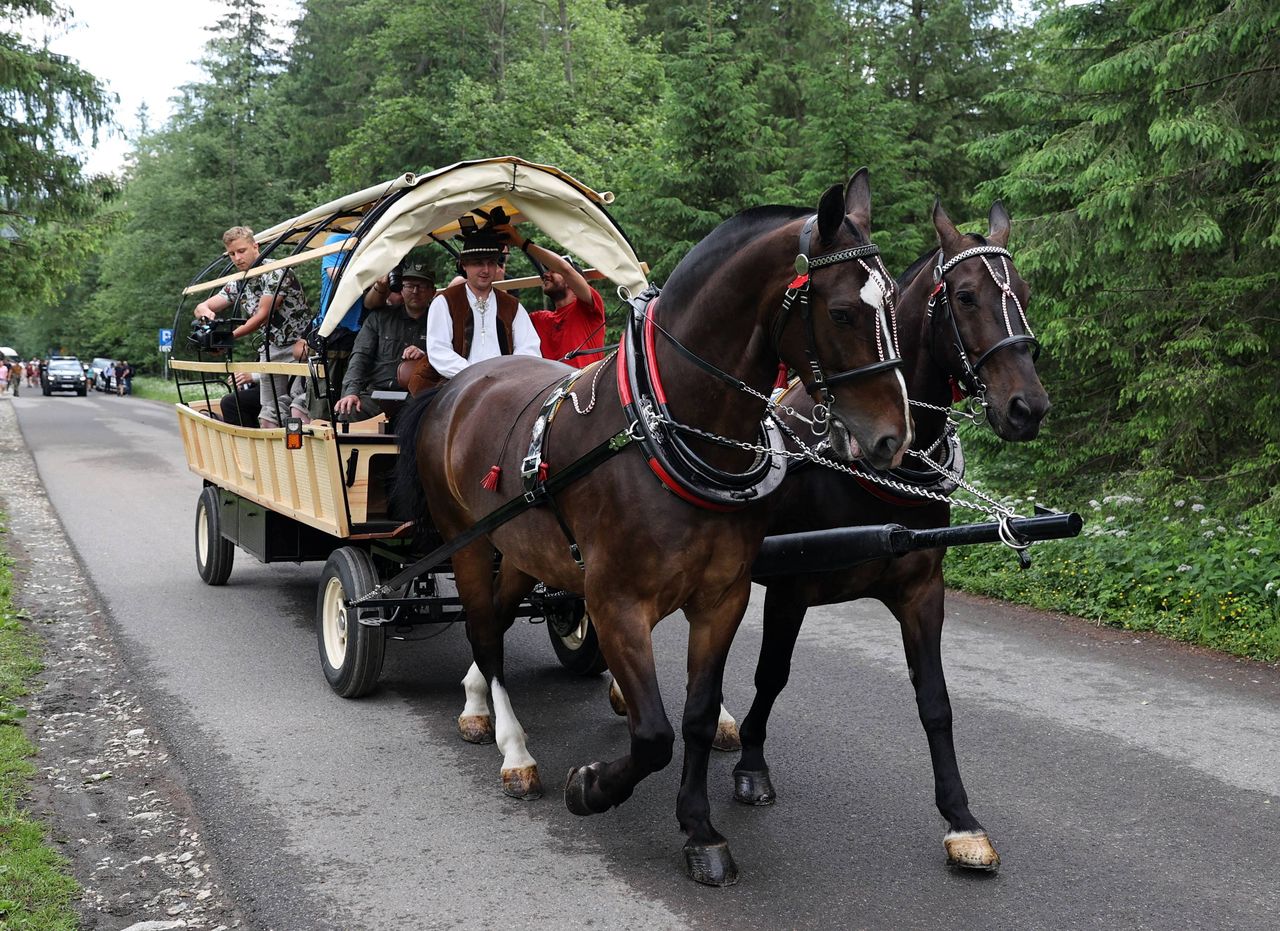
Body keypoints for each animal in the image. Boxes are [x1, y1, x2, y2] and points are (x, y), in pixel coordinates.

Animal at [396, 171, 911, 886]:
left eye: (891, 299)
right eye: (840, 313)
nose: (893, 438)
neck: (663, 430)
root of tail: (460, 383)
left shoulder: (722, 598)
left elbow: (693, 718)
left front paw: (699, 831)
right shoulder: (615, 601)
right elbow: (652, 734)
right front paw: (590, 787)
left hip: (521, 549)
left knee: (493, 620)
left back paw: (475, 703)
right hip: (466, 542)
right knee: (483, 632)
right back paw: (513, 748)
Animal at [732, 198, 1049, 875]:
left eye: (1025, 292)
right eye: (964, 296)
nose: (1027, 408)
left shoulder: (921, 590)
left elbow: (936, 701)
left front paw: (961, 818)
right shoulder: (789, 587)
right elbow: (771, 673)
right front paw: (750, 763)